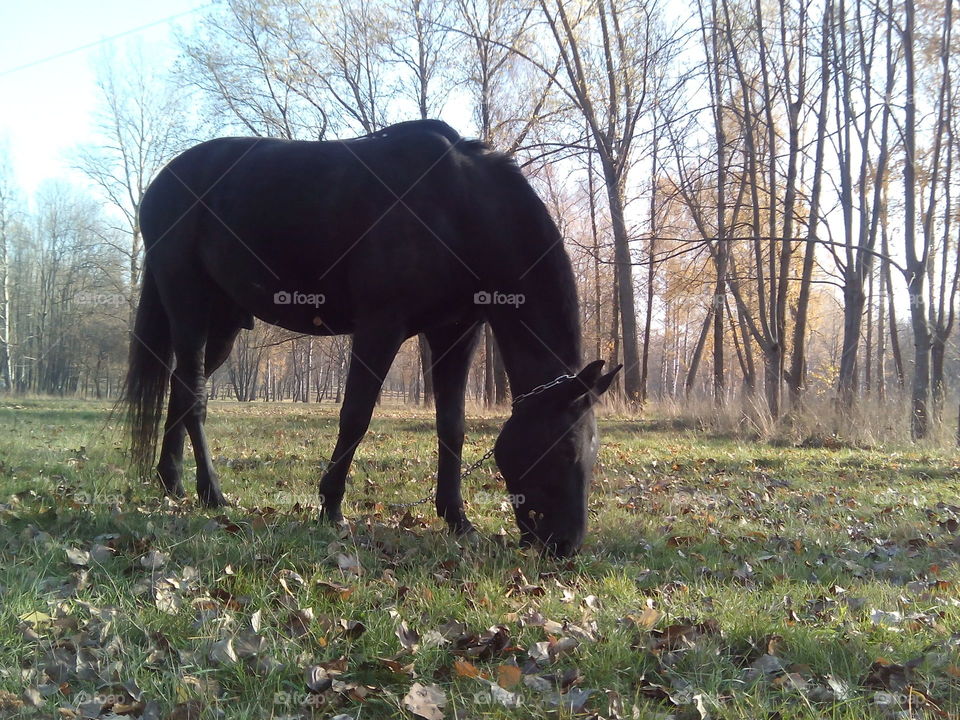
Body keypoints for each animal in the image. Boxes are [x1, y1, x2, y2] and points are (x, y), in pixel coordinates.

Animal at [124, 119, 620, 556]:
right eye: (565, 450)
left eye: (593, 452)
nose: (565, 545)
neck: (457, 206)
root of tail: (163, 181)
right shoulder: (381, 327)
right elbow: (356, 416)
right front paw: (331, 508)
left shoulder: (456, 333)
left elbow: (451, 426)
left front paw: (457, 519)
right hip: (187, 303)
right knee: (193, 394)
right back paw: (211, 493)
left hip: (224, 322)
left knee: (180, 387)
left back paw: (171, 480)